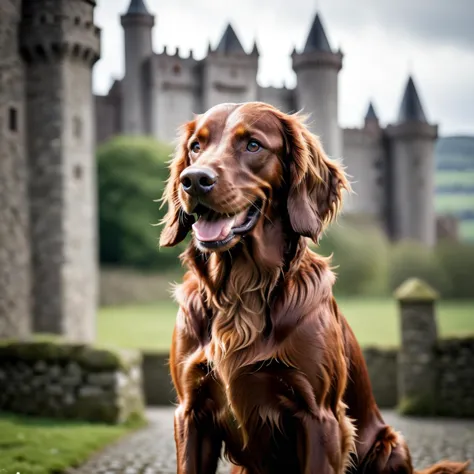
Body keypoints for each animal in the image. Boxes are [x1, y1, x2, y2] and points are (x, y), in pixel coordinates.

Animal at [158, 103, 470, 474]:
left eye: (253, 145)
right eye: (196, 146)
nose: (193, 180)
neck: (241, 290)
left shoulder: (319, 416)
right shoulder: (190, 412)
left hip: (390, 445)